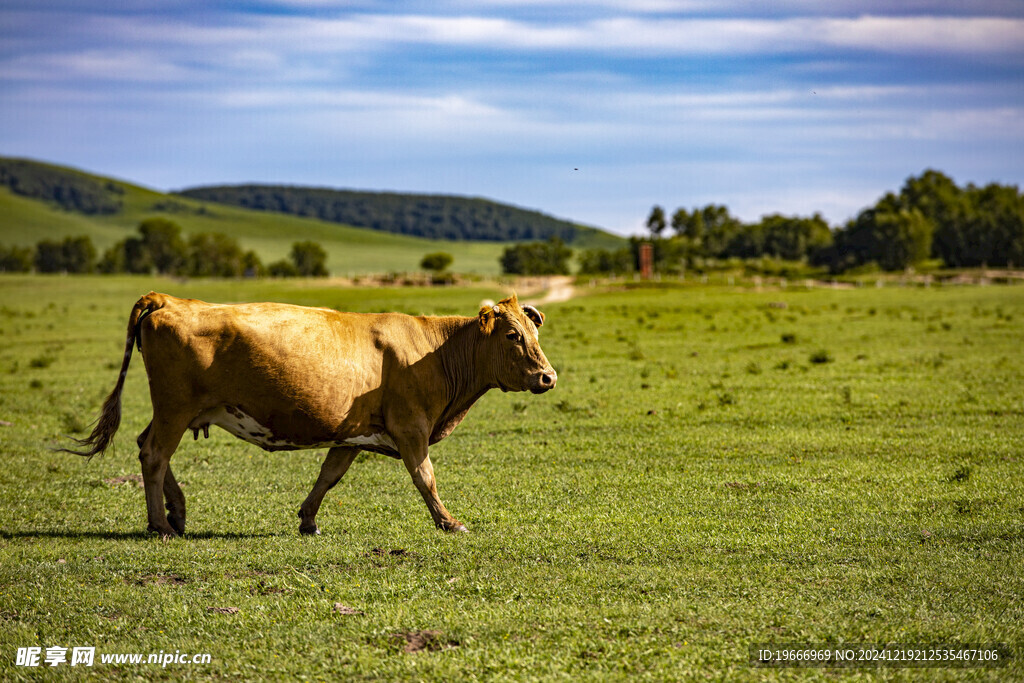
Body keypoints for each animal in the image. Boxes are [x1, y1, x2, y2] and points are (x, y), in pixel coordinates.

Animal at [65, 294, 557, 540]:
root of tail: (167, 298)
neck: (436, 351)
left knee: (148, 448)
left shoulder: (351, 433)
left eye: (534, 331)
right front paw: (449, 522)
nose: (548, 376)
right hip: (175, 406)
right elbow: (425, 478)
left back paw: (178, 512)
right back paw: (162, 525)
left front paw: (307, 519)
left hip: (180, 410)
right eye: (512, 335)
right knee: (154, 454)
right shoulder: (411, 426)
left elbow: (329, 476)